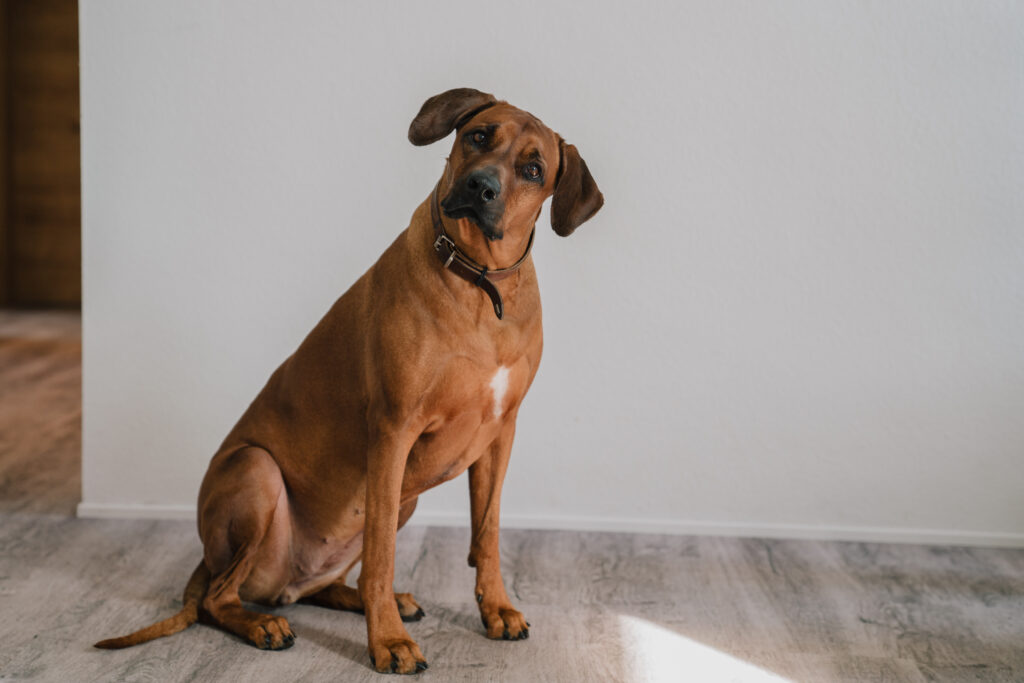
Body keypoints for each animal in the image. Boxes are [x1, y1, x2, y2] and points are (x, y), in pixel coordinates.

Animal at [94, 88, 598, 675]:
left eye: (533, 169)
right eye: (478, 136)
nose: (480, 187)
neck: (478, 281)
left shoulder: (500, 435)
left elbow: (488, 532)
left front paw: (495, 608)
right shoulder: (393, 432)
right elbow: (381, 555)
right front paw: (390, 641)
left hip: (401, 503)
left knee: (312, 586)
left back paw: (363, 599)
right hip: (258, 472)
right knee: (220, 598)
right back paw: (265, 624)